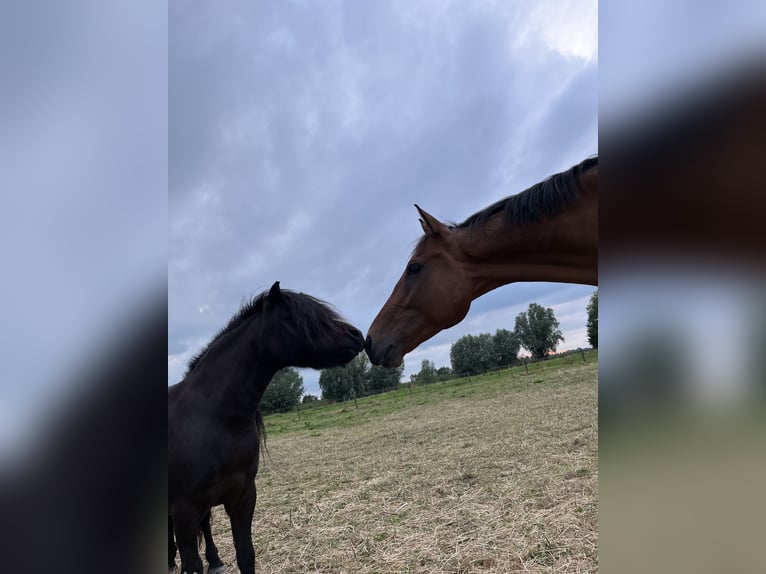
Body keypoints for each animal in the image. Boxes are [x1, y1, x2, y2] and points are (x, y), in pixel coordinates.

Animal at [169, 284, 366, 574]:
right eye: (306, 318)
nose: (357, 335)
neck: (215, 419)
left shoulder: (242, 498)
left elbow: (246, 554)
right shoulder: (185, 509)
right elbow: (192, 565)